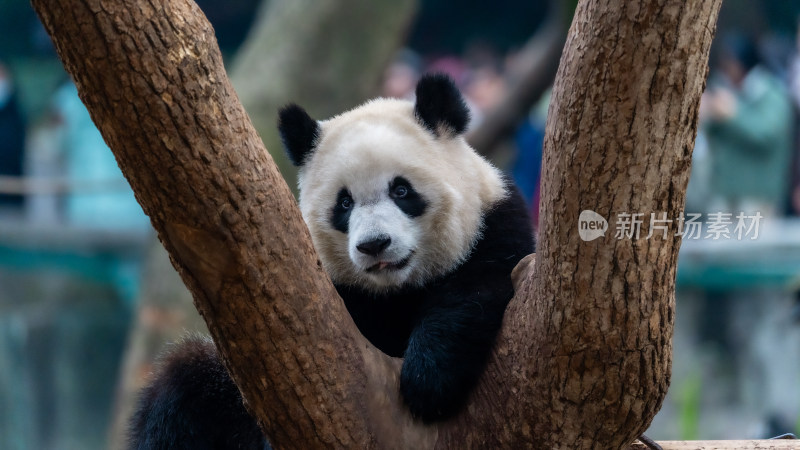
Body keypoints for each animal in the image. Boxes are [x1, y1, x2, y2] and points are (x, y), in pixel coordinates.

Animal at [130, 72, 532, 448]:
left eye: (401, 190)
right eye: (344, 203)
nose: (374, 244)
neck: (395, 291)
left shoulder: (495, 228)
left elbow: (473, 291)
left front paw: (429, 381)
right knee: (182, 389)